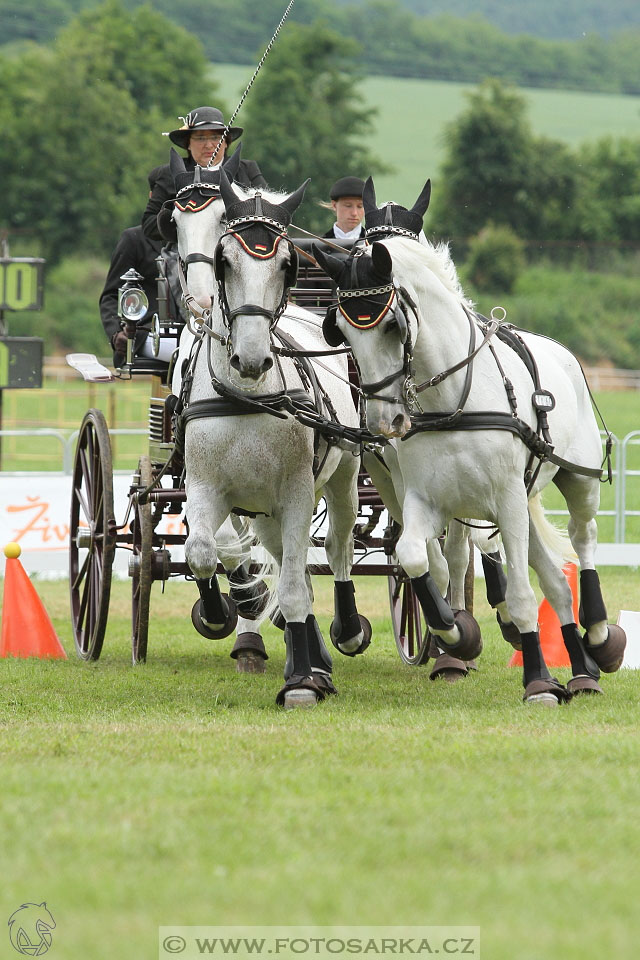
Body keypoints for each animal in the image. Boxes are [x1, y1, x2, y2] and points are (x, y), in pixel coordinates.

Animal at [166, 154, 370, 700]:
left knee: (335, 549)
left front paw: (301, 681)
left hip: (341, 481)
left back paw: (341, 634)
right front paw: (222, 611)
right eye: (226, 260)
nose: (253, 358)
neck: (246, 397)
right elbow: (202, 552)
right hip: (262, 509)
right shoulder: (206, 487)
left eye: (285, 264)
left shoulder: (296, 492)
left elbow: (297, 586)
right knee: (280, 557)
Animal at [316, 178, 624, 704]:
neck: (452, 399)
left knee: (582, 542)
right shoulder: (423, 497)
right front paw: (455, 633)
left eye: (393, 325)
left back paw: (600, 638)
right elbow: (417, 558)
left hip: (573, 481)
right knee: (553, 580)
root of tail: (563, 353)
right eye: (341, 331)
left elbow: (518, 593)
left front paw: (537, 680)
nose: (384, 420)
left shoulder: (503, 498)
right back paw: (581, 669)